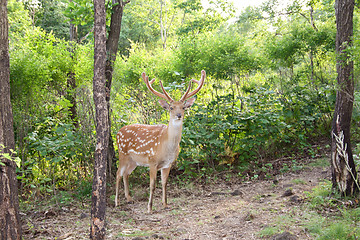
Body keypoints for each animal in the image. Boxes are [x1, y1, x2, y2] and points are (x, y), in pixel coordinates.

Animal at [115, 70, 205, 213]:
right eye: (171, 107)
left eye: (183, 107)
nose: (179, 115)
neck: (166, 146)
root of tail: (118, 132)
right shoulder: (152, 161)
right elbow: (152, 185)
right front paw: (149, 208)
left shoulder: (168, 164)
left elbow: (164, 183)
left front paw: (165, 204)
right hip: (122, 153)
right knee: (118, 173)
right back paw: (117, 202)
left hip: (134, 160)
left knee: (126, 174)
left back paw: (129, 198)